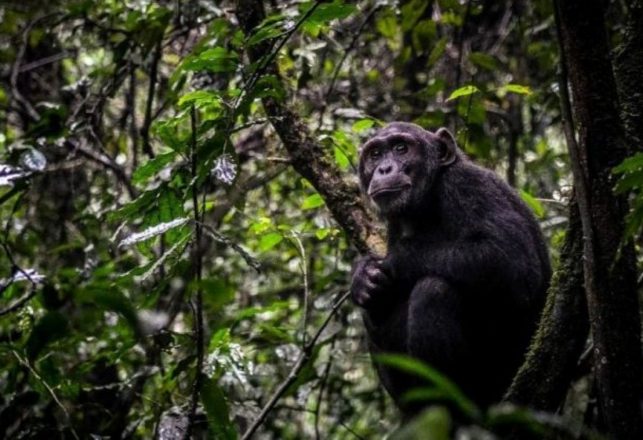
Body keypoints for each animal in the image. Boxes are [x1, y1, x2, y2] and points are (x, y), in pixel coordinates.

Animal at [352, 122, 552, 414]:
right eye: (375, 154)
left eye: (401, 148)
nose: (384, 169)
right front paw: (364, 278)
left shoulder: (467, 187)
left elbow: (511, 260)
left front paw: (383, 264)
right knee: (373, 311)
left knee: (434, 290)